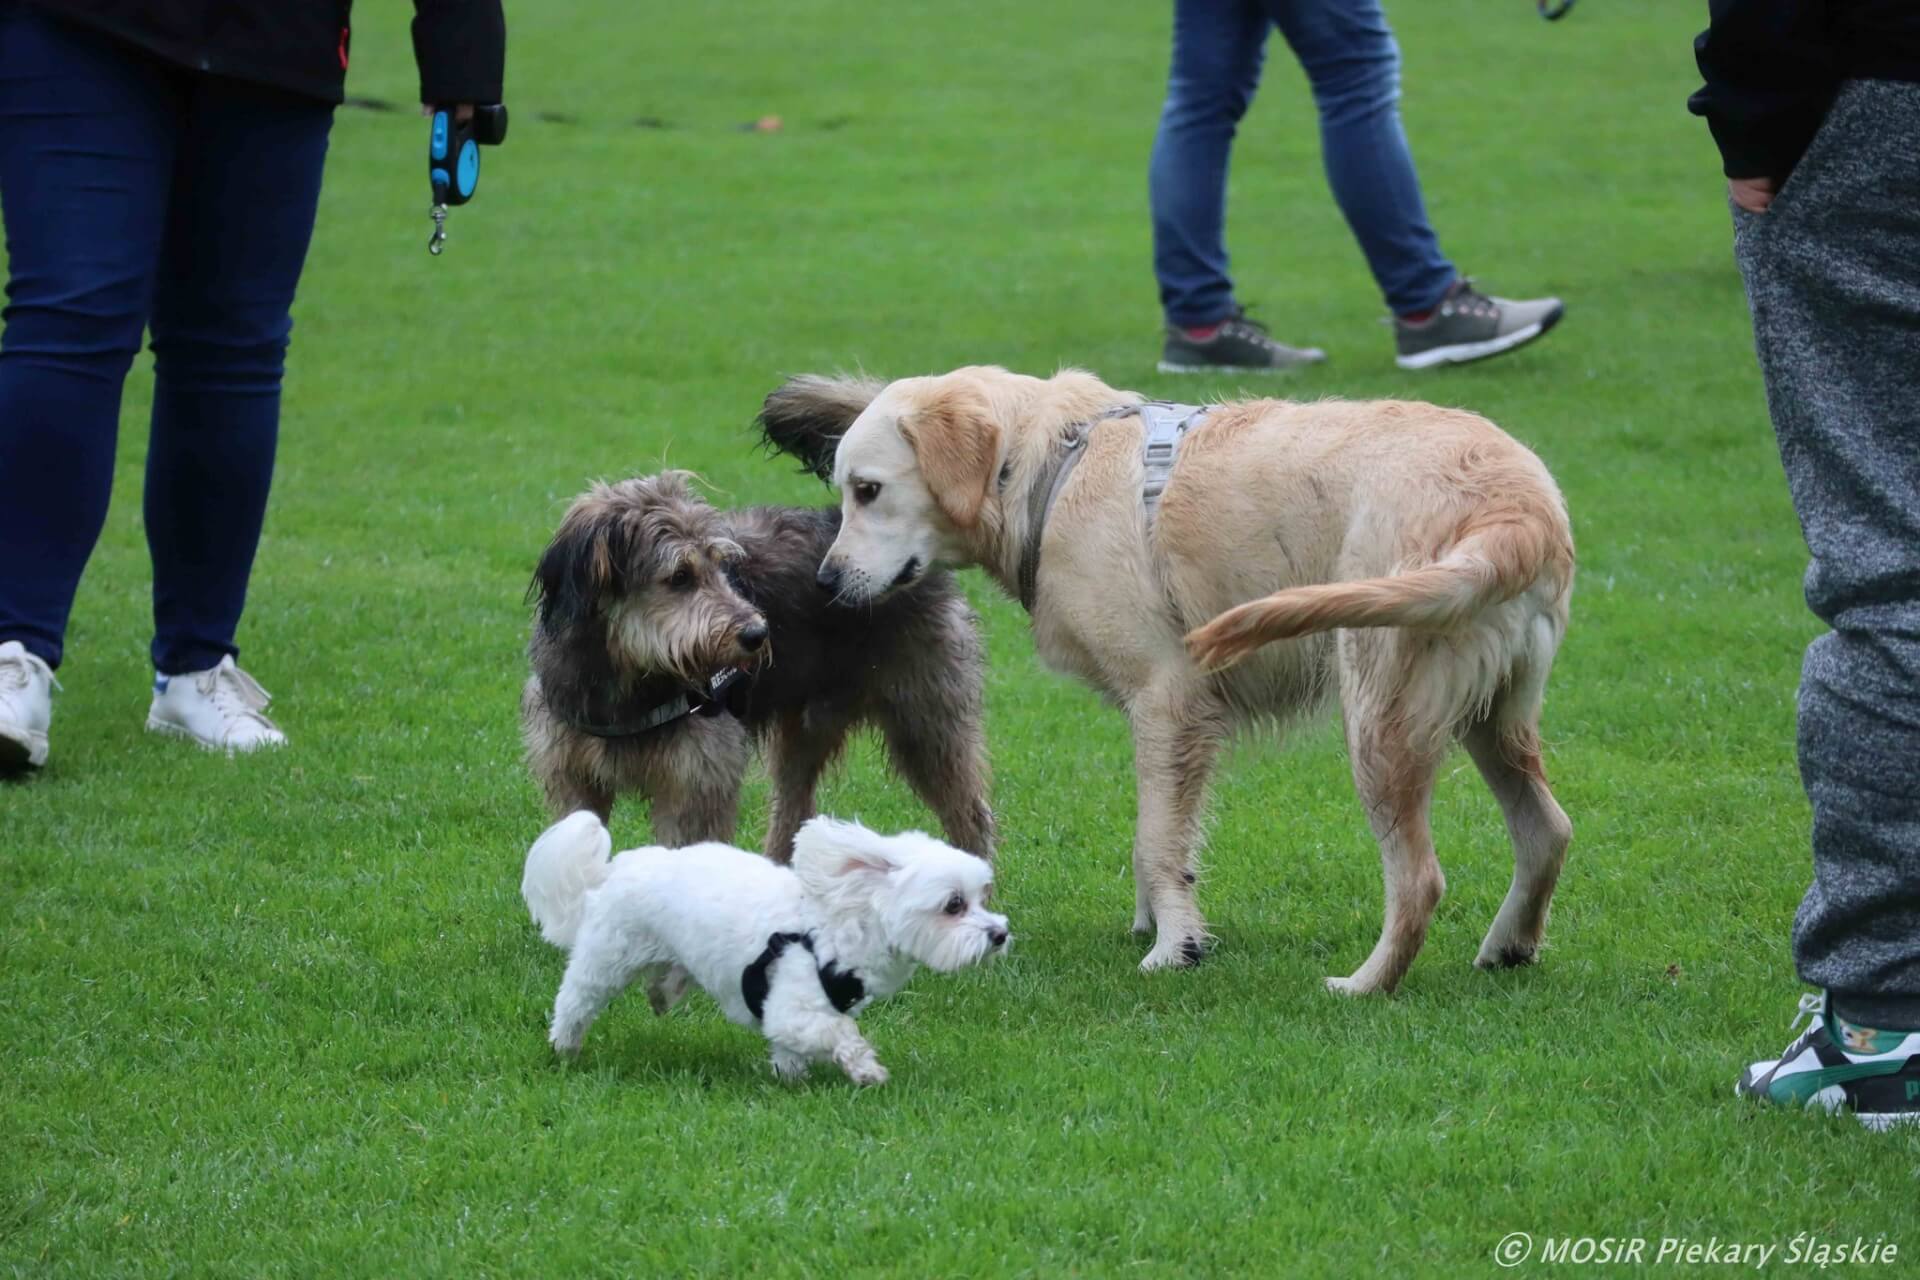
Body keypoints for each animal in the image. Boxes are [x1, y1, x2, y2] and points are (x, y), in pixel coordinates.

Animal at [518, 809, 1013, 1082]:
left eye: (980, 897)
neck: (840, 925)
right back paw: (565, 1047)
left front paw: (790, 1078)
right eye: (954, 905)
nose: (1000, 934)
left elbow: (792, 1048)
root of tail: (618, 866)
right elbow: (838, 1032)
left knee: (666, 974)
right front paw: (865, 1070)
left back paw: (663, 993)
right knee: (576, 1000)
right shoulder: (794, 1004)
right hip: (607, 956)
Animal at [522, 466, 990, 867]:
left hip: (926, 723)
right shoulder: (573, 776)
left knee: (971, 814)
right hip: (805, 733)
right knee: (794, 813)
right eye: (679, 576)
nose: (757, 634)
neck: (628, 685)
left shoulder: (699, 781)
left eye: (721, 564)